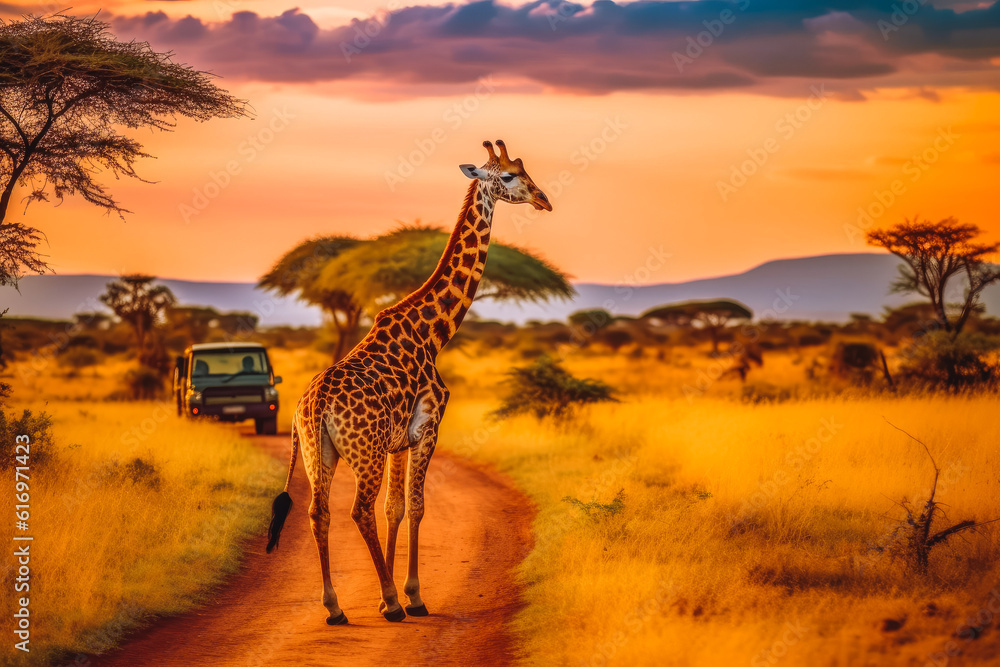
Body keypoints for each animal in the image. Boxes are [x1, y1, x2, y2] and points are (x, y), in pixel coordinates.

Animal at [266, 139, 552, 624]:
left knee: (318, 511)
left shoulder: (398, 441)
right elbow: (415, 507)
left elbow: (394, 509)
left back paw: (335, 606)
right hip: (363, 452)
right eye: (511, 176)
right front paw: (410, 596)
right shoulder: (426, 429)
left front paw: (387, 596)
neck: (432, 332)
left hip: (317, 450)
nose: (544, 199)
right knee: (357, 510)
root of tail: (316, 402)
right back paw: (393, 605)